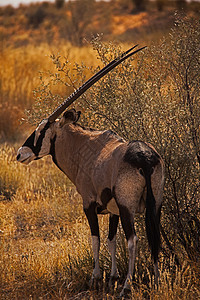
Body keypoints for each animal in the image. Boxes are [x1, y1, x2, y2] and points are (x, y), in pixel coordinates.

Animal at [16, 45, 164, 296]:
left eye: (41, 130)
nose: (20, 154)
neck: (85, 147)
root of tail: (145, 158)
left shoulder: (89, 204)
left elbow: (96, 238)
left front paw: (96, 277)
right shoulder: (113, 210)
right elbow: (111, 239)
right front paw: (112, 276)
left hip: (128, 207)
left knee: (133, 239)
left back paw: (127, 286)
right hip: (155, 206)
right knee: (154, 236)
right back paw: (156, 280)